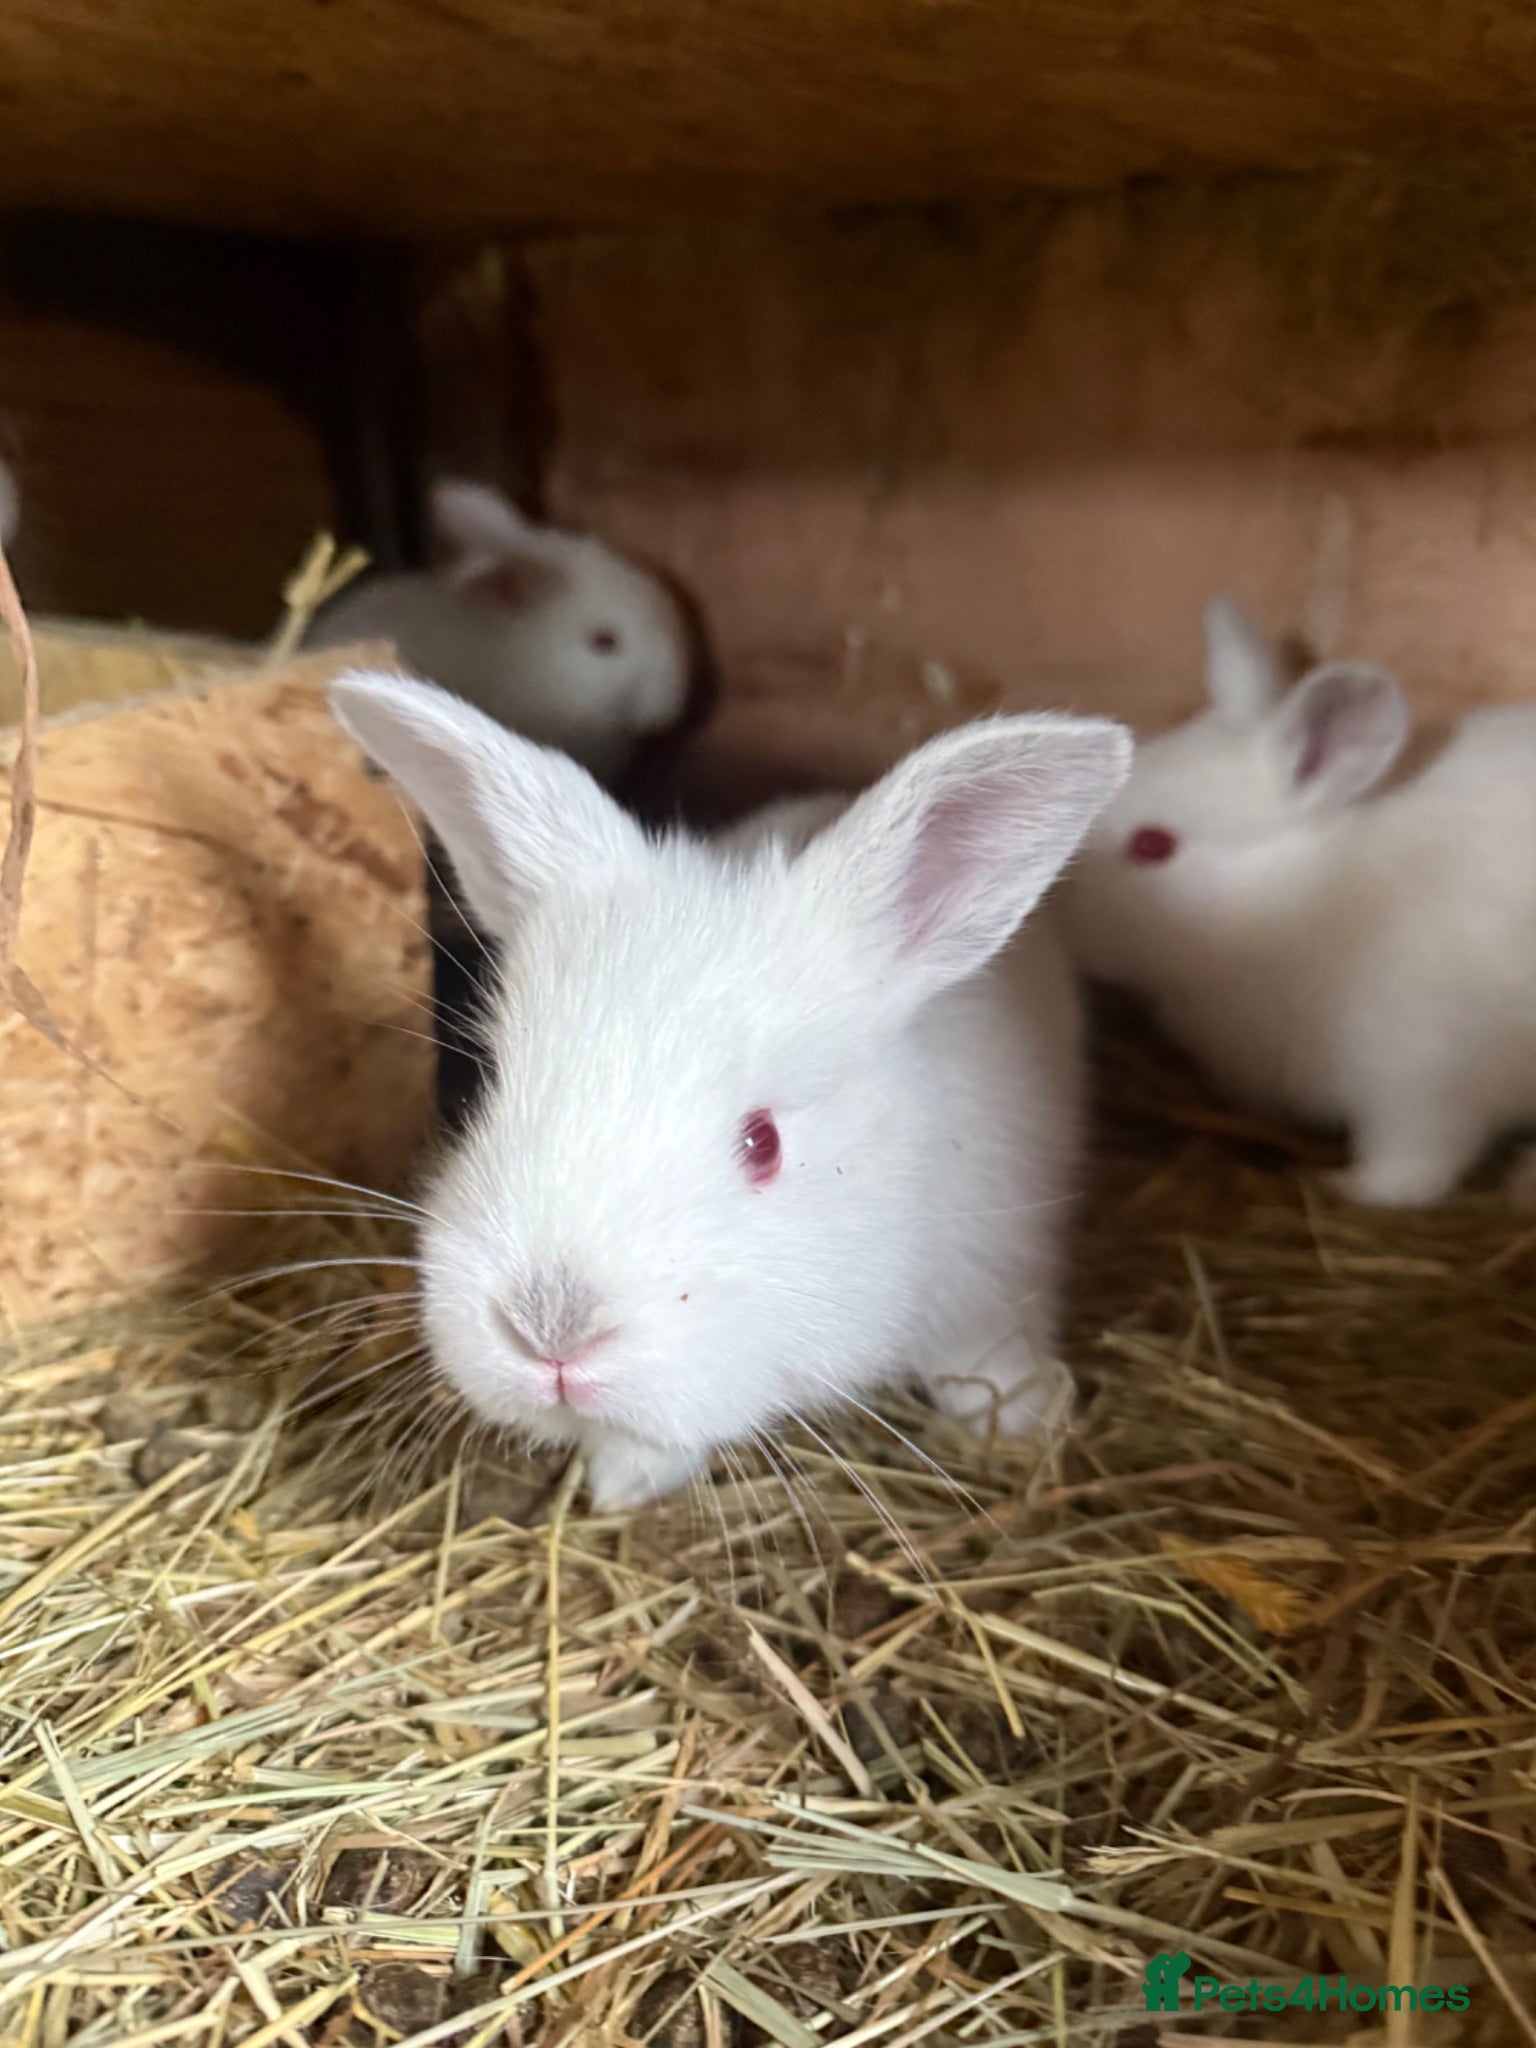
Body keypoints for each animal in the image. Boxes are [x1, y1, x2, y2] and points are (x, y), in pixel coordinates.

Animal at [328, 668, 1132, 1510]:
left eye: (763, 1142)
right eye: (491, 1089)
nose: (551, 1332)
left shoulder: (999, 1269)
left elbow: (990, 1358)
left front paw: (1024, 1416)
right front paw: (622, 1481)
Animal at [1061, 596, 1536, 1208]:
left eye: (1153, 845)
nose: (1058, 914)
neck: (1303, 893)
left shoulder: (1423, 1083)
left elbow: (1416, 1163)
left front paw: (1354, 1189)